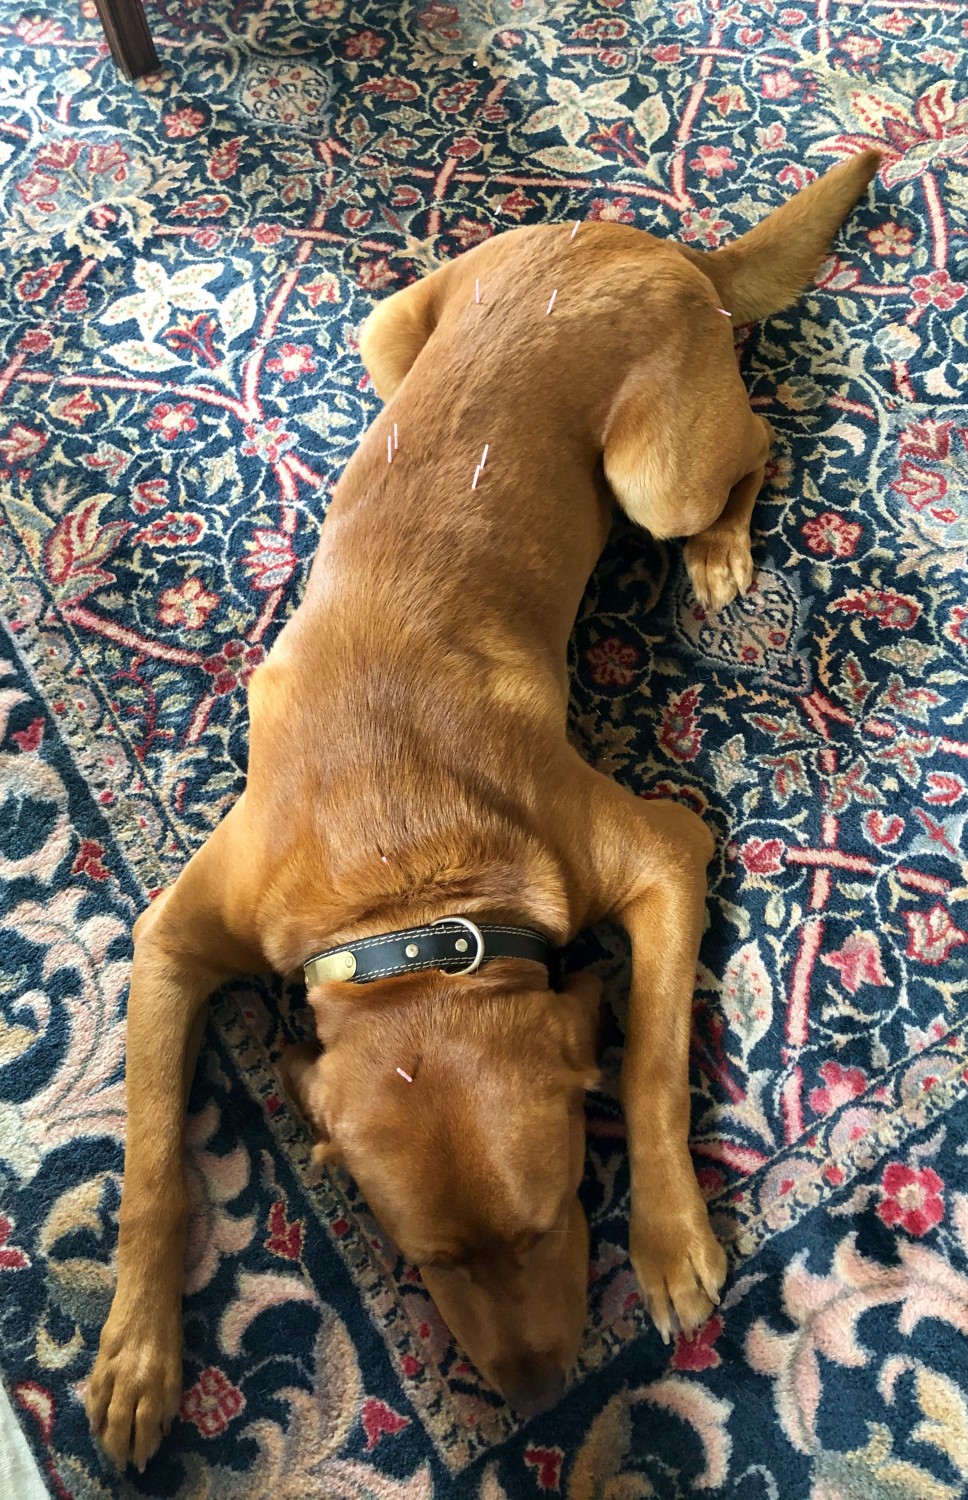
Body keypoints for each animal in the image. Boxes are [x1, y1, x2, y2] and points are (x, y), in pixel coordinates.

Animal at [86, 152, 882, 1464]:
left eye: (560, 1210)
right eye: (422, 1258)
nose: (536, 1393)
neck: (400, 881)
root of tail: (642, 243)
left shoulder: (665, 854)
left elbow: (650, 1061)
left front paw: (671, 1240)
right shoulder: (174, 938)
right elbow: (150, 1160)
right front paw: (135, 1357)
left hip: (654, 475)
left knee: (754, 445)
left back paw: (719, 552)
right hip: (386, 336)